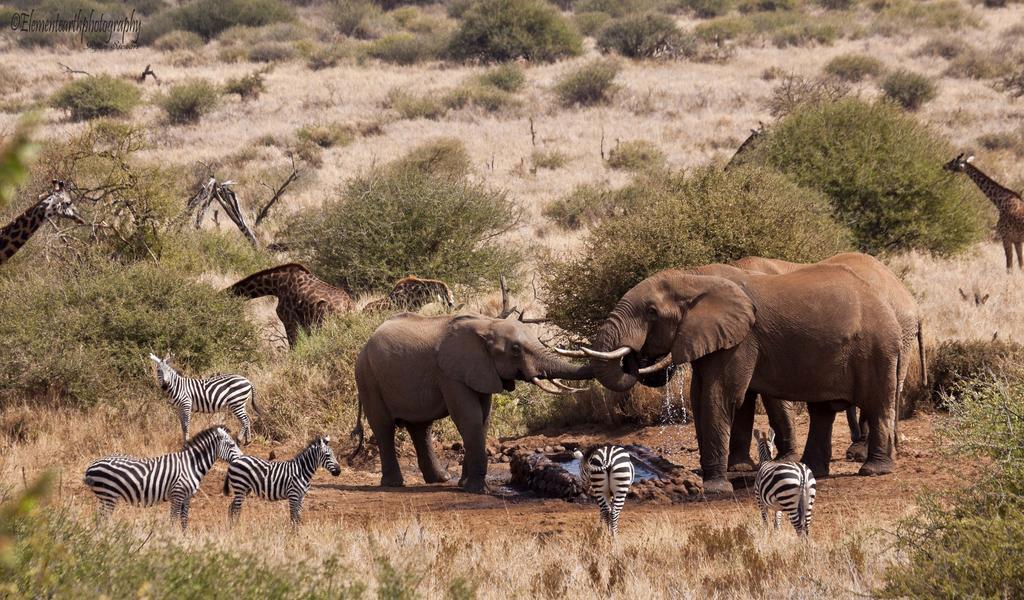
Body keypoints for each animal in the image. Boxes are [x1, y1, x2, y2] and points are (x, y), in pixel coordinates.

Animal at [83, 425, 239, 528]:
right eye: (232, 445)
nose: (241, 459)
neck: (191, 464)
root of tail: (91, 466)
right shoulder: (177, 494)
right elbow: (173, 520)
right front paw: (172, 540)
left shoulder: (186, 497)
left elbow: (184, 520)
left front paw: (184, 540)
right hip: (108, 495)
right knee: (102, 519)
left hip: (106, 497)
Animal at [352, 313, 593, 491]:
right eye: (515, 350)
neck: (487, 324)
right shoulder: (450, 373)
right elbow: (469, 418)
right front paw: (478, 489)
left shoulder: (482, 370)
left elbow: (483, 419)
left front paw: (463, 484)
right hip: (367, 377)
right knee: (384, 427)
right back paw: (394, 484)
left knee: (421, 428)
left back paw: (441, 479)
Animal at [581, 262, 901, 491]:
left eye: (651, 312)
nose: (635, 358)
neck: (693, 277)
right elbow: (700, 398)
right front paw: (719, 476)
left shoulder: (741, 339)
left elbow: (719, 396)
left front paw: (714, 488)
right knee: (822, 411)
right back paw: (813, 469)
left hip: (878, 349)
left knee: (877, 406)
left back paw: (873, 470)